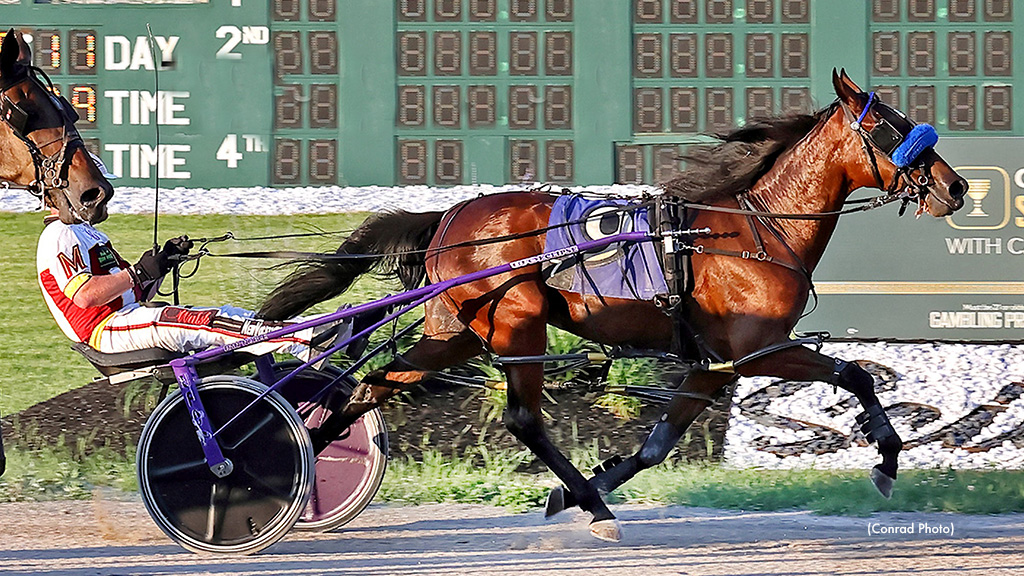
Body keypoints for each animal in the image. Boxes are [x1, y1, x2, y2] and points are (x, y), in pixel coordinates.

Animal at [259, 70, 967, 542]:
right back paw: (595, 512)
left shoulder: (712, 366)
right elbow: (855, 375)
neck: (755, 228)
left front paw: (578, 491)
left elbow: (657, 445)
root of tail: (449, 215)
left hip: (455, 330)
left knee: (375, 382)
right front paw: (886, 458)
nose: (957, 185)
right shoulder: (756, 352)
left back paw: (304, 453)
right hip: (517, 324)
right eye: (888, 126)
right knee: (522, 418)